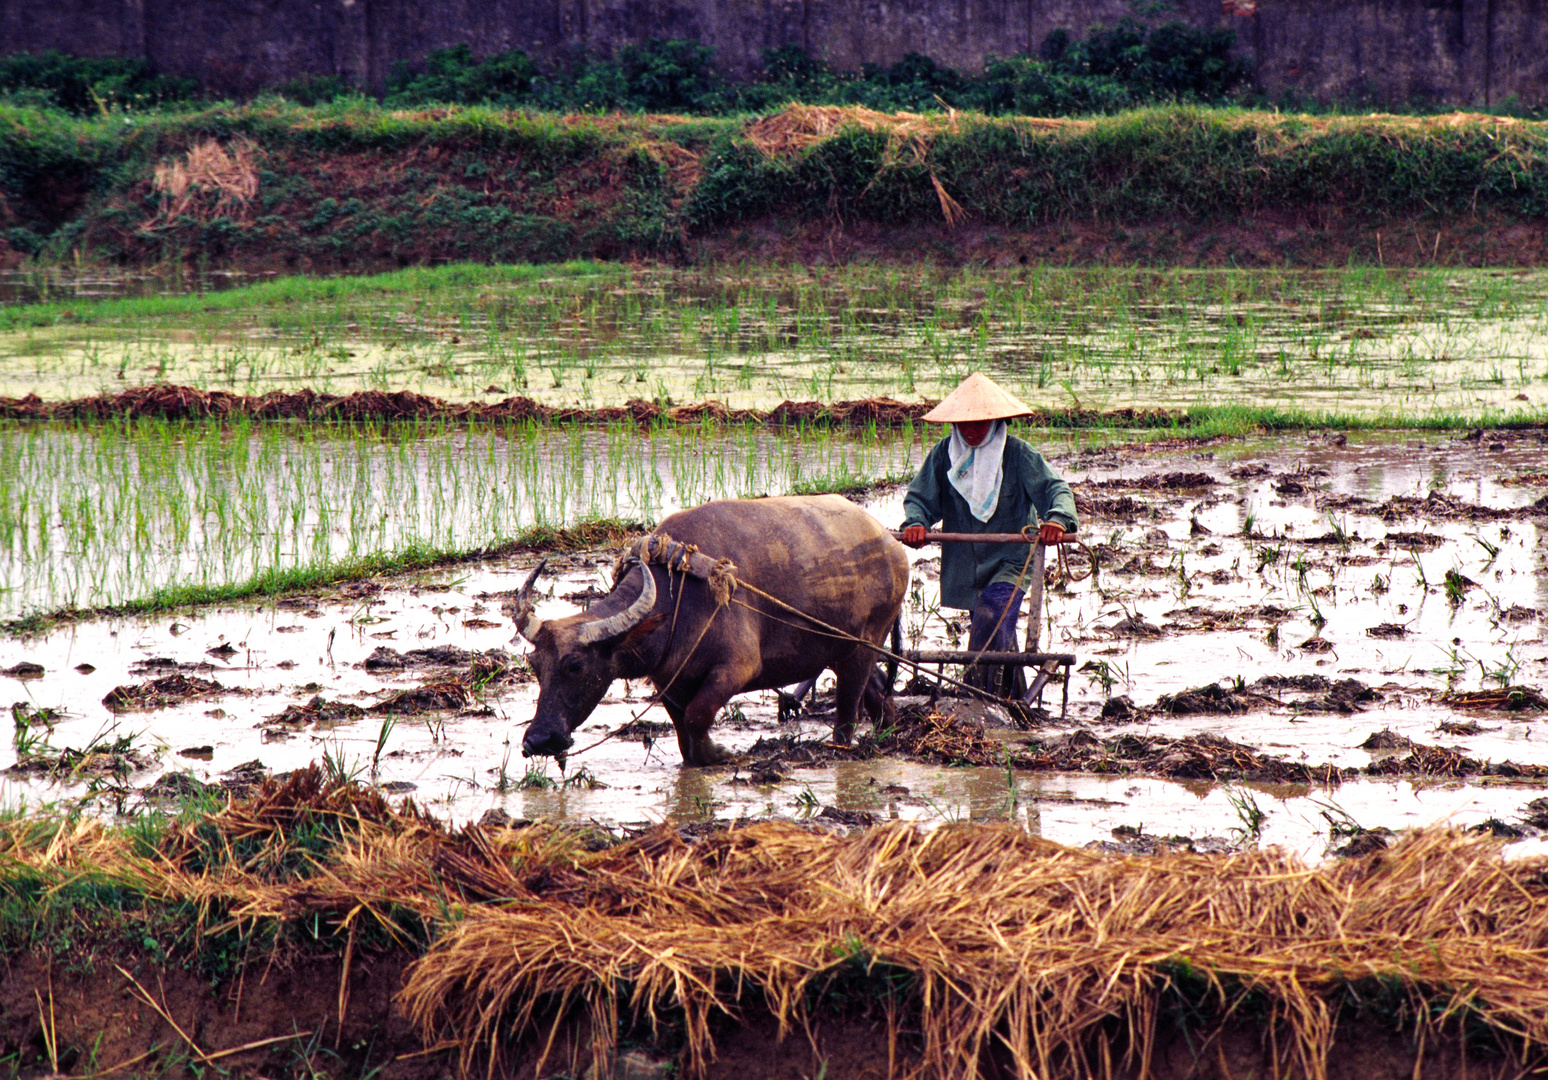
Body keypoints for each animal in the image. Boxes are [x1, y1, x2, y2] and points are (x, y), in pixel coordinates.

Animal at [513, 495, 910, 764]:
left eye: (575, 666)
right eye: (536, 666)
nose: (538, 740)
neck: (675, 596)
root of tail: (891, 545)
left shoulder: (737, 669)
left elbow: (698, 716)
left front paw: (720, 752)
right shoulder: (670, 682)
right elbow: (683, 734)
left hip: (864, 645)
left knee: (847, 714)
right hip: (844, 651)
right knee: (878, 696)